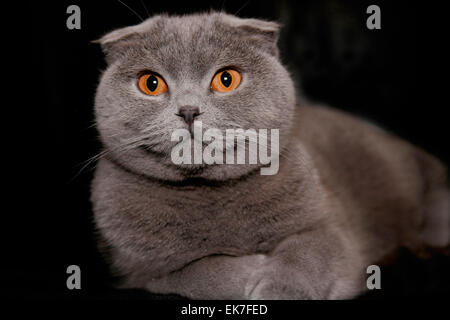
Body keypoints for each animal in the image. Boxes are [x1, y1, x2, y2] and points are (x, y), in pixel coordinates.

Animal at [91, 11, 450, 298]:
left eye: (226, 79)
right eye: (151, 83)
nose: (189, 110)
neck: (208, 195)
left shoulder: (330, 229)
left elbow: (308, 252)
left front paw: (279, 287)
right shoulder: (136, 272)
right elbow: (193, 272)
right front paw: (251, 269)